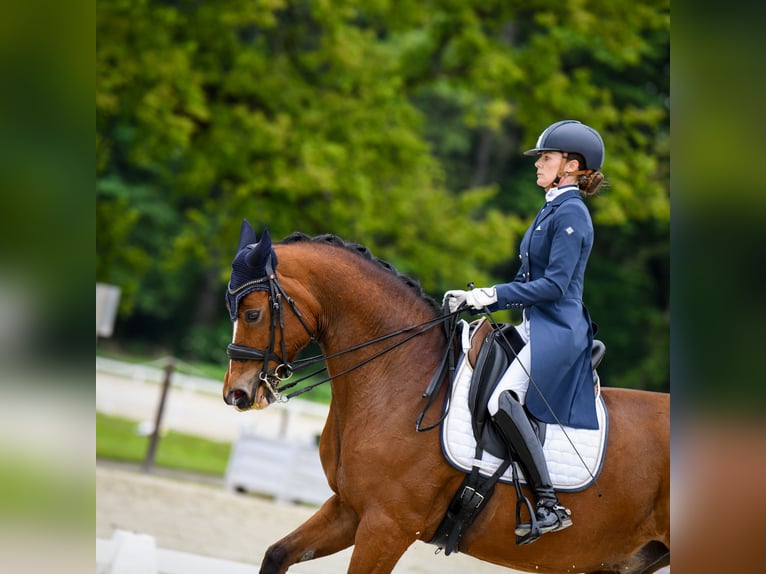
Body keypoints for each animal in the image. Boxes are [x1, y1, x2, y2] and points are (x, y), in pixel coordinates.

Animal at [222, 224, 672, 574]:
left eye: (253, 313)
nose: (236, 393)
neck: (398, 374)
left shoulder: (388, 525)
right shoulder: (350, 509)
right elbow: (277, 555)